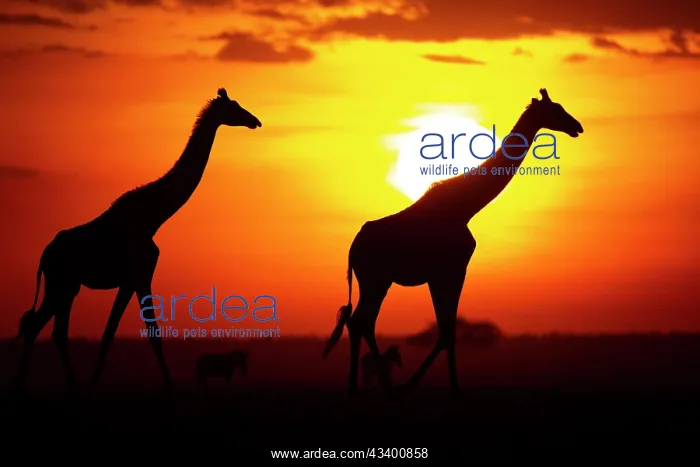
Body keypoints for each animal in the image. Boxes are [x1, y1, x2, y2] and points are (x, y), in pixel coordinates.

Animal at [11, 88, 262, 393]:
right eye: (235, 107)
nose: (255, 121)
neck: (155, 215)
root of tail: (45, 254)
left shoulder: (137, 278)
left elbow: (137, 332)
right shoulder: (137, 276)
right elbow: (130, 332)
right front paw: (166, 387)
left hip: (68, 287)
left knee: (52, 330)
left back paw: (64, 385)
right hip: (61, 283)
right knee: (38, 326)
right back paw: (30, 385)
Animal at [322, 88, 583, 397]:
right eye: (555, 110)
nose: (577, 126)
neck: (467, 206)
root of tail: (353, 248)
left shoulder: (442, 274)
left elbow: (446, 329)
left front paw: (440, 384)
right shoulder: (452, 270)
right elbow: (447, 330)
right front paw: (442, 386)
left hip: (374, 281)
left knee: (361, 322)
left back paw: (367, 386)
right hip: (376, 279)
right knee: (361, 321)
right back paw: (383, 386)